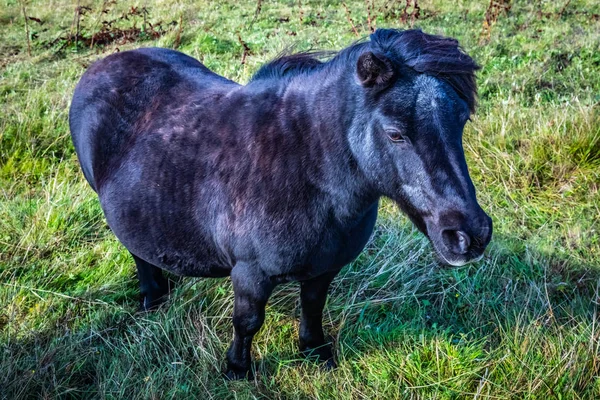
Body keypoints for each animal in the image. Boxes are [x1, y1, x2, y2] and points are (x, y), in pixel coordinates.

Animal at [69, 28, 492, 378]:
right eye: (395, 134)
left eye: (462, 120)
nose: (469, 235)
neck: (303, 167)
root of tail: (105, 64)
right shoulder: (250, 273)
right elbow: (248, 322)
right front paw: (237, 369)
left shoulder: (324, 267)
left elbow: (313, 306)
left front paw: (314, 352)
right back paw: (153, 295)